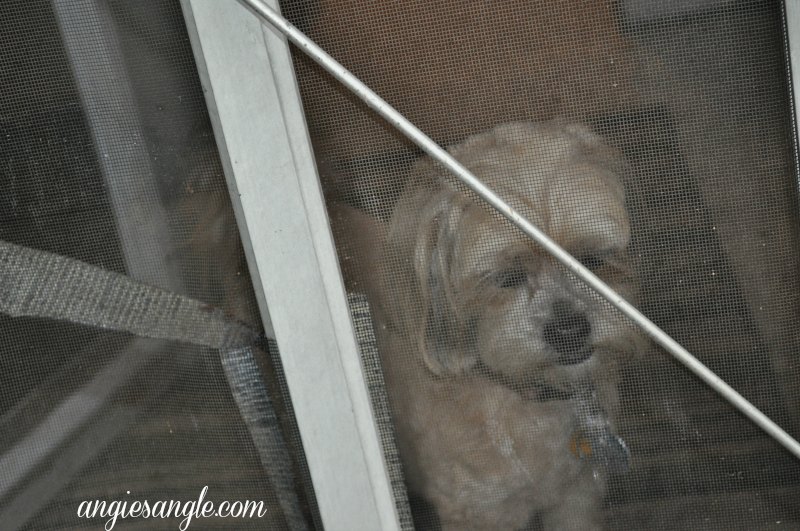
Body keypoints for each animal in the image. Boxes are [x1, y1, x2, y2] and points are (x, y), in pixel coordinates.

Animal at [340, 120, 648, 531]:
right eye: (507, 277)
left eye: (592, 260)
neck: (527, 396)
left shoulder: (577, 494)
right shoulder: (480, 511)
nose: (569, 331)